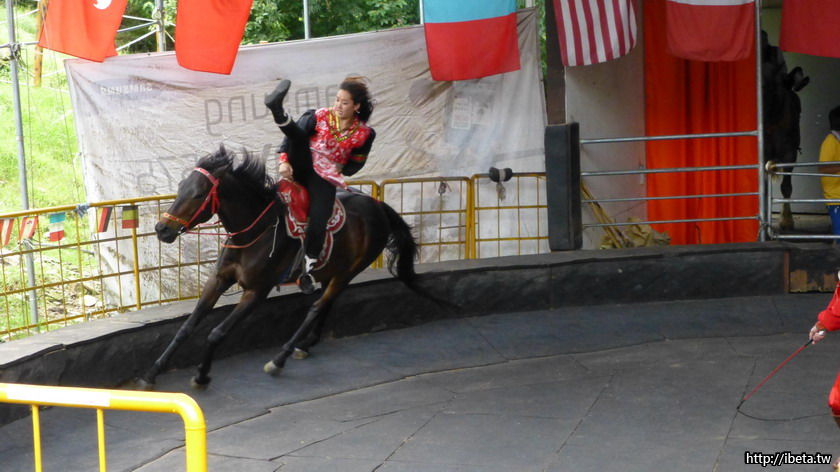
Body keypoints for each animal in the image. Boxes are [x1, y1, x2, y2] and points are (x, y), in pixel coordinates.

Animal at [136, 146, 418, 389]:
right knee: (327, 303)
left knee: (317, 307)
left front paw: (202, 375)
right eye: (180, 187)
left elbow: (217, 333)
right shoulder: (218, 279)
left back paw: (280, 357)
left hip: (350, 270)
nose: (162, 229)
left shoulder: (257, 291)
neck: (254, 232)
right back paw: (306, 344)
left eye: (197, 194)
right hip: (335, 269)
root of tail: (379, 206)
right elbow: (186, 328)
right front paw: (151, 373)